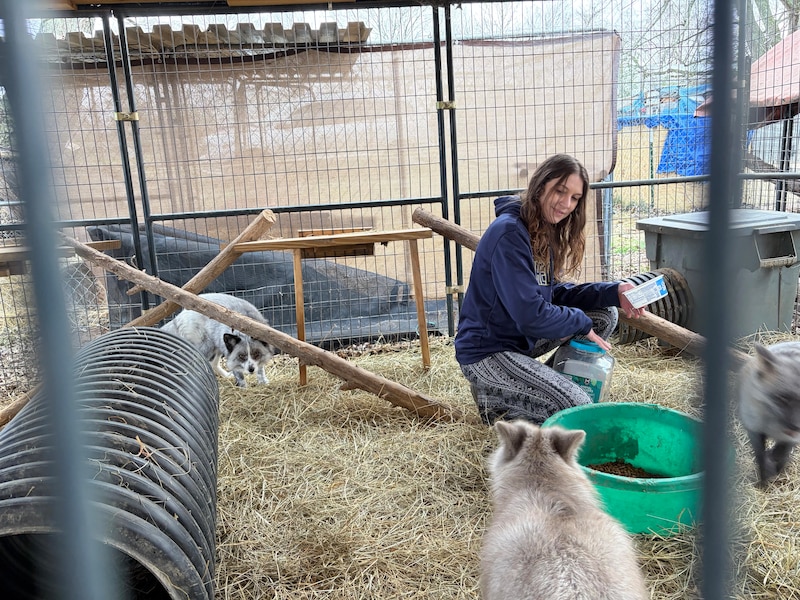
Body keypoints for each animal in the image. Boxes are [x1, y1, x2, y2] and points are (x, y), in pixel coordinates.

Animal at [737, 341, 800, 486]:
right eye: (782, 398)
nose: (796, 427)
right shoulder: (753, 428)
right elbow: (760, 456)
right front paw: (763, 478)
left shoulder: (790, 439)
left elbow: (780, 452)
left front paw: (775, 465)